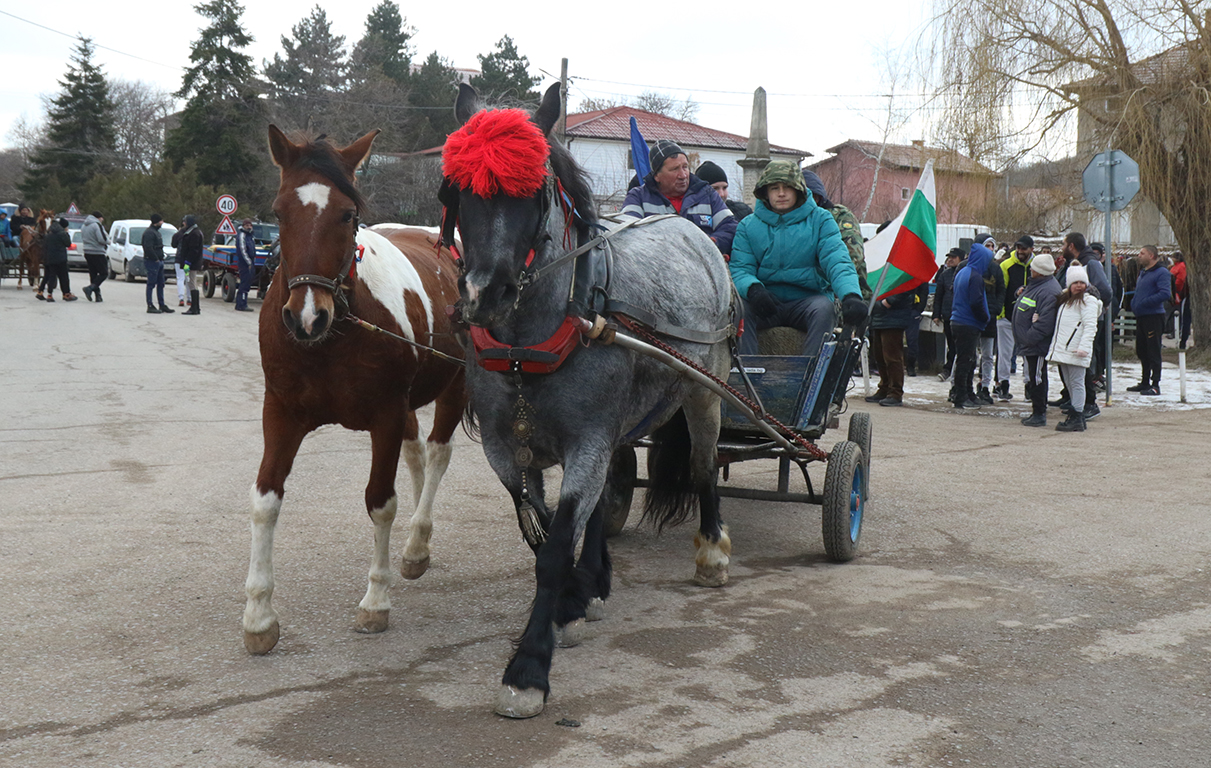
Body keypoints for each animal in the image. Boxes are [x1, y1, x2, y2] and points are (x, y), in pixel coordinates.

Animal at [242, 125, 467, 654]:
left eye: (347, 214)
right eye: (278, 212)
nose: (305, 317)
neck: (333, 335)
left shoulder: (385, 415)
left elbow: (380, 502)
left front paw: (375, 601)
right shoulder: (281, 414)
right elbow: (265, 502)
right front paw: (259, 615)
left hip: (457, 384)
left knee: (437, 453)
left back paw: (417, 540)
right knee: (417, 454)